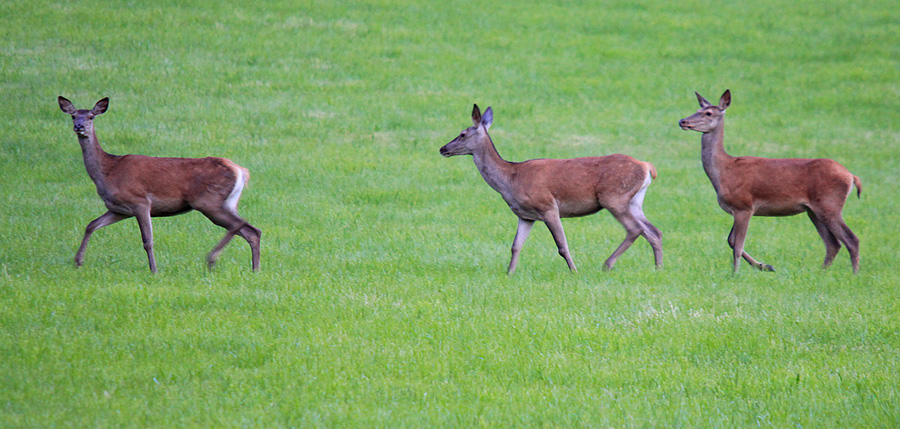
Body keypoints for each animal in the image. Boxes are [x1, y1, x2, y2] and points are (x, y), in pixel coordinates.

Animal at [57, 95, 260, 272]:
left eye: (91, 116)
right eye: (73, 115)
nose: (79, 126)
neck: (108, 171)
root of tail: (240, 170)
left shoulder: (139, 201)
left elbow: (148, 240)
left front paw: (154, 270)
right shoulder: (119, 209)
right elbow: (91, 225)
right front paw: (78, 262)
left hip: (208, 201)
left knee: (240, 225)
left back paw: (212, 259)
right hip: (227, 203)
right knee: (252, 230)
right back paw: (254, 269)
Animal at [440, 103, 664, 274]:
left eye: (462, 134)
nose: (443, 149)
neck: (510, 179)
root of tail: (647, 166)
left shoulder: (547, 206)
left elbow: (562, 246)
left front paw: (574, 271)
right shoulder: (525, 215)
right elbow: (515, 246)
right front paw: (509, 273)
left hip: (614, 197)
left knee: (635, 229)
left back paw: (608, 264)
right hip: (634, 200)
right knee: (654, 231)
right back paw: (658, 268)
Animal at [680, 88, 860, 272]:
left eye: (708, 113)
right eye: (697, 109)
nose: (683, 121)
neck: (723, 172)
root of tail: (851, 176)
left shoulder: (744, 206)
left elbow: (737, 245)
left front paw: (736, 273)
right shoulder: (737, 209)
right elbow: (730, 241)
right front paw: (764, 266)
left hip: (830, 204)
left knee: (851, 240)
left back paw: (854, 274)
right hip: (814, 210)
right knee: (833, 244)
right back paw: (822, 272)